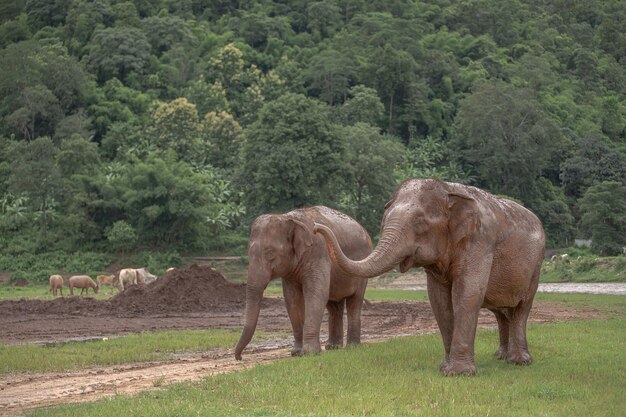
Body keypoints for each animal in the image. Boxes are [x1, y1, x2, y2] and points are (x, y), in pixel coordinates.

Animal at [234, 206, 370, 360]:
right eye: (249, 253)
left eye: (270, 253)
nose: (239, 357)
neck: (288, 218)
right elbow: (292, 299)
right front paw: (297, 353)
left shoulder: (319, 253)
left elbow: (315, 295)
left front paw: (310, 352)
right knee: (334, 305)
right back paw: (333, 347)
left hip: (361, 268)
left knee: (354, 301)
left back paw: (352, 346)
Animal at [314, 177, 544, 376]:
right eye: (384, 221)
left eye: (419, 222)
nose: (316, 228)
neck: (449, 191)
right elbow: (439, 300)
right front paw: (445, 368)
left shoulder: (480, 240)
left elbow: (467, 294)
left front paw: (459, 373)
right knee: (503, 312)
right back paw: (502, 357)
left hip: (536, 267)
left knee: (521, 309)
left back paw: (519, 361)